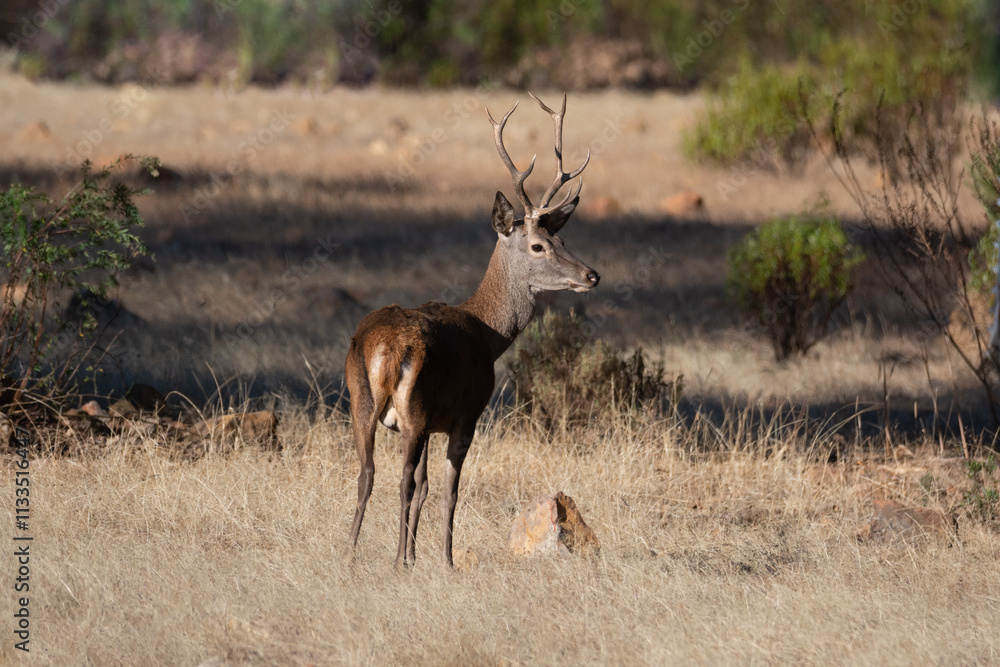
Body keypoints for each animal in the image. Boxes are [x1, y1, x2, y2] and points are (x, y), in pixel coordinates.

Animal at [345, 93, 600, 568]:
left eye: (561, 239)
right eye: (538, 245)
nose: (592, 275)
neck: (489, 335)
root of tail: (384, 349)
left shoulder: (431, 421)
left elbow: (426, 487)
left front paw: (415, 557)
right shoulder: (466, 415)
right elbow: (447, 491)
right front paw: (441, 561)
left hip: (361, 401)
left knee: (367, 473)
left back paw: (350, 553)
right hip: (413, 408)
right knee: (402, 480)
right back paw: (392, 559)